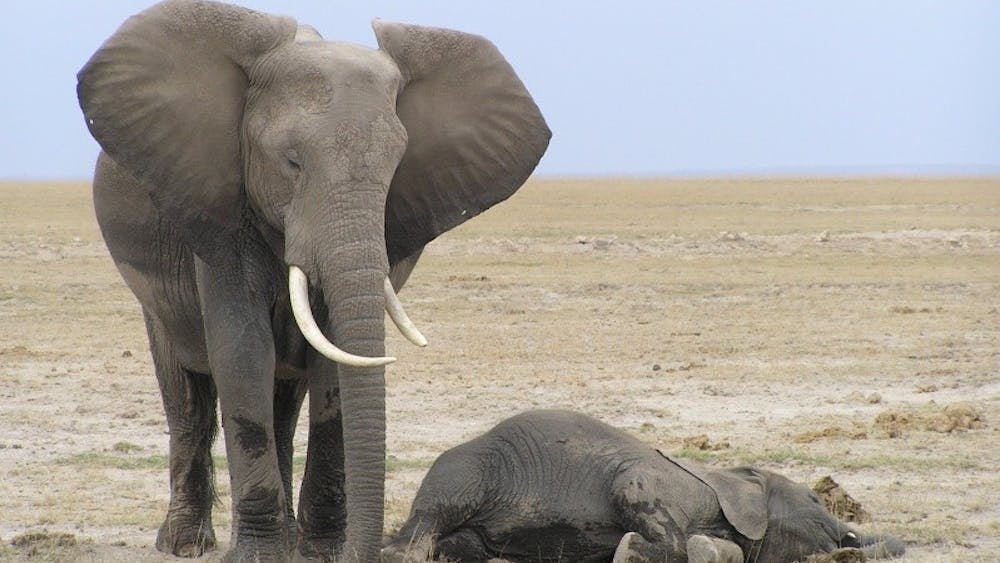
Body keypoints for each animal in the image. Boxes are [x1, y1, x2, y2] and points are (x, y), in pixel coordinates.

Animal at [76, 1, 549, 561]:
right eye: (292, 163)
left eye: (395, 168)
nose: (379, 546)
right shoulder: (223, 205)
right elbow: (242, 350)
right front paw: (258, 555)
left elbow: (333, 365)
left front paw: (321, 551)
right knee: (186, 395)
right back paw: (185, 543)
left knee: (283, 402)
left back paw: (286, 535)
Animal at [383, 410, 905, 563]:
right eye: (815, 497)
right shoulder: (655, 481)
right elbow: (633, 494)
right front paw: (630, 550)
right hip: (468, 470)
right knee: (425, 527)